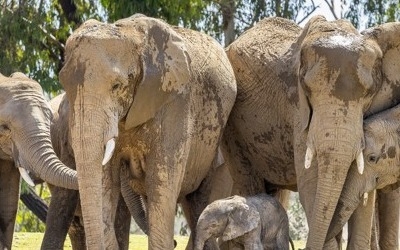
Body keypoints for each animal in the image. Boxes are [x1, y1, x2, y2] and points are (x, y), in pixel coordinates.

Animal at [57, 14, 236, 250]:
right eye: (64, 85)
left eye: (117, 86)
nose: (175, 241)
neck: (131, 34)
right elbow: (106, 181)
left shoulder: (176, 101)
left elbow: (159, 182)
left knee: (203, 204)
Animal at [223, 16, 400, 250]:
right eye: (307, 89)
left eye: (369, 94)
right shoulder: (297, 109)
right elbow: (310, 182)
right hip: (233, 127)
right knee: (247, 179)